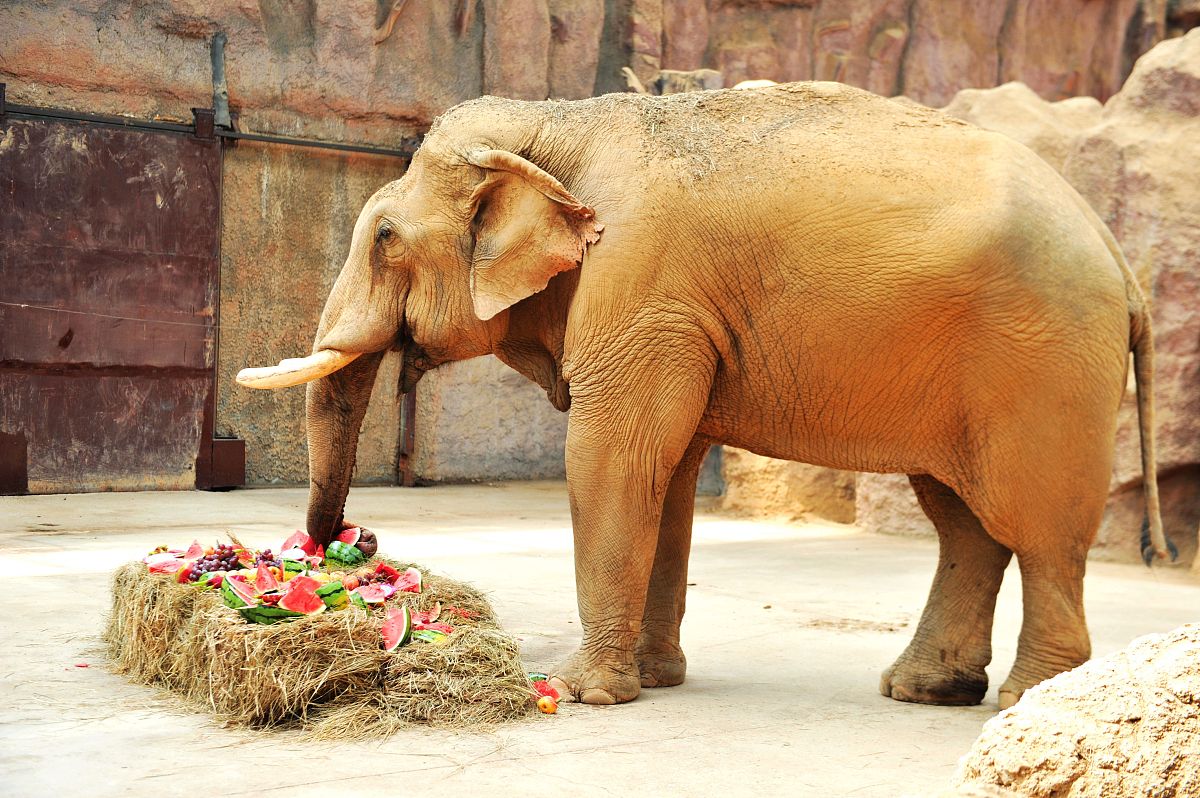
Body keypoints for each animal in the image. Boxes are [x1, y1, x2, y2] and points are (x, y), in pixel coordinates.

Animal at [237, 81, 1170, 710]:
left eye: (386, 239)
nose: (346, 546)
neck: (558, 123)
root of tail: (1121, 260)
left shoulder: (642, 281)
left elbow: (613, 460)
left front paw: (582, 693)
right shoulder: (672, 313)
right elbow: (670, 476)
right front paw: (652, 680)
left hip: (1043, 359)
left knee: (1038, 525)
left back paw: (1027, 700)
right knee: (964, 521)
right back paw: (925, 689)